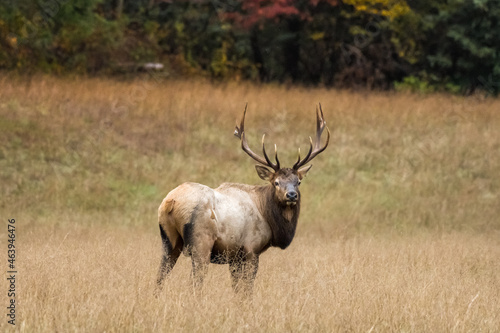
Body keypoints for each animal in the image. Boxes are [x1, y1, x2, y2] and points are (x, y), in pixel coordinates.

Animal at [154, 104, 330, 294]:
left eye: (298, 182)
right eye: (276, 182)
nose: (291, 195)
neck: (267, 215)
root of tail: (171, 202)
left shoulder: (234, 256)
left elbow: (237, 289)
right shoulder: (251, 249)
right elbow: (247, 289)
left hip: (169, 241)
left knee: (160, 277)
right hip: (201, 242)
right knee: (195, 283)